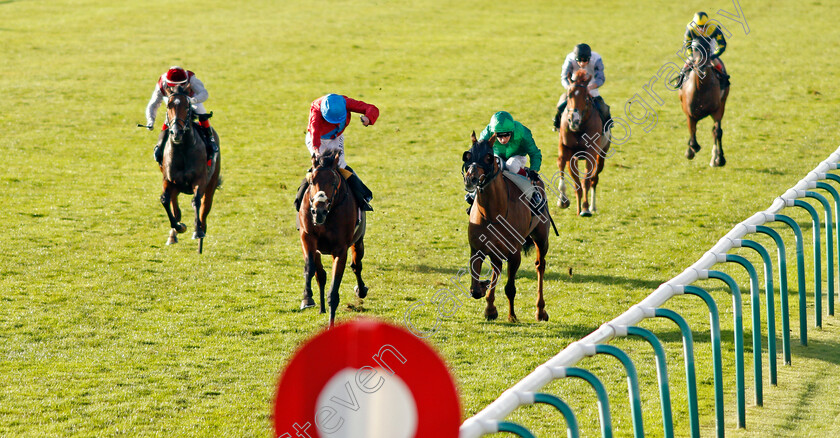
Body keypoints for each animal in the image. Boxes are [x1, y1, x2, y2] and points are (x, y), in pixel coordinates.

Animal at [159, 85, 220, 253]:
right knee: (175, 208)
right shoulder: (168, 180)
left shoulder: (200, 180)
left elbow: (196, 201)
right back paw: (173, 235)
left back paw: (200, 237)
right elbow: (165, 200)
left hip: (211, 184)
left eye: (187, 106)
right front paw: (179, 227)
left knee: (204, 209)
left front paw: (197, 231)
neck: (182, 149)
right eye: (168, 106)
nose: (176, 132)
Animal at [300, 149, 370, 326]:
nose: (319, 211)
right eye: (312, 182)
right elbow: (310, 268)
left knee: (356, 265)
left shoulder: (340, 249)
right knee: (320, 275)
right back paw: (321, 308)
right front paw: (307, 298)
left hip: (358, 241)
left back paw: (361, 290)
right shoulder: (307, 237)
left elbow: (334, 290)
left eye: (333, 182)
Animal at [460, 132, 552, 324]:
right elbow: (475, 289)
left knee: (540, 266)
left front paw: (512, 316)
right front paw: (485, 292)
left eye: (488, 157)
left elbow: (510, 287)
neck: (493, 213)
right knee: (497, 267)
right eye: (468, 155)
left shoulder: (514, 253)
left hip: (541, 238)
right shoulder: (476, 249)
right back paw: (490, 307)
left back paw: (540, 311)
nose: (470, 179)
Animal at [556, 67, 612, 216]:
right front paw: (563, 201)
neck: (579, 128)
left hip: (602, 154)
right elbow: (563, 167)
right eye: (569, 95)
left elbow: (585, 181)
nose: (573, 120)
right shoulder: (567, 151)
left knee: (594, 179)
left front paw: (585, 208)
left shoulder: (591, 153)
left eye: (586, 97)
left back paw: (592, 207)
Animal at [676, 37, 728, 166]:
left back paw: (714, 158)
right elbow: (692, 132)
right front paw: (690, 151)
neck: (701, 90)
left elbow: (717, 131)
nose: (701, 66)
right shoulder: (690, 114)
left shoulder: (717, 110)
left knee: (714, 131)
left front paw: (720, 159)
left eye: (708, 49)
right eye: (695, 49)